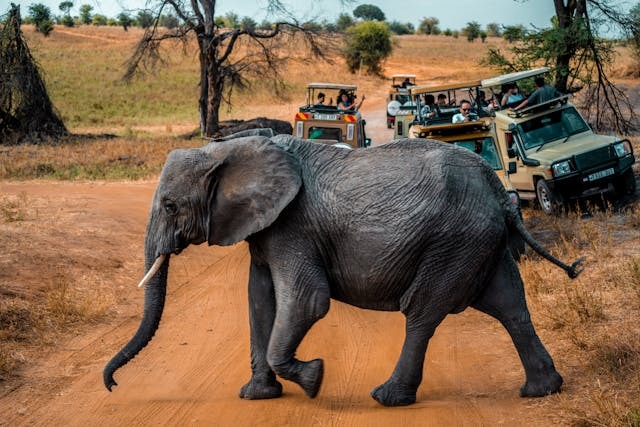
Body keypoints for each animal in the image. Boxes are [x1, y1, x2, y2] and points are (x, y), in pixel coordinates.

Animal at [103, 135, 583, 406]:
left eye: (170, 206)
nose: (111, 386)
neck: (227, 148)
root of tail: (499, 189)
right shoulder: (266, 228)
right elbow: (259, 300)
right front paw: (256, 396)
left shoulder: (293, 225)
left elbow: (306, 301)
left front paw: (313, 379)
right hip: (480, 241)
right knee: (510, 306)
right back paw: (543, 390)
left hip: (454, 241)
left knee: (422, 312)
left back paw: (388, 398)